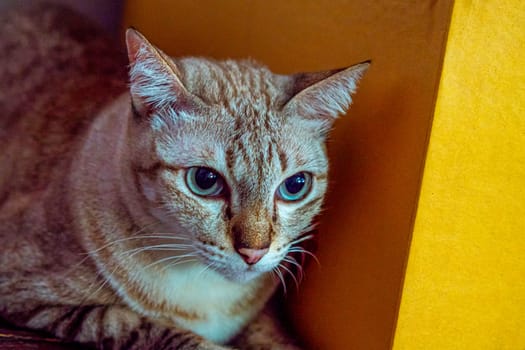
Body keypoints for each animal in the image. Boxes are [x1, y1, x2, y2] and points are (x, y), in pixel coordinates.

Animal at [0, 2, 368, 350]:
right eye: (205, 181)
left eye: (295, 186)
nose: (254, 253)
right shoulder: (31, 295)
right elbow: (143, 326)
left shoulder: (262, 315)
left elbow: (273, 338)